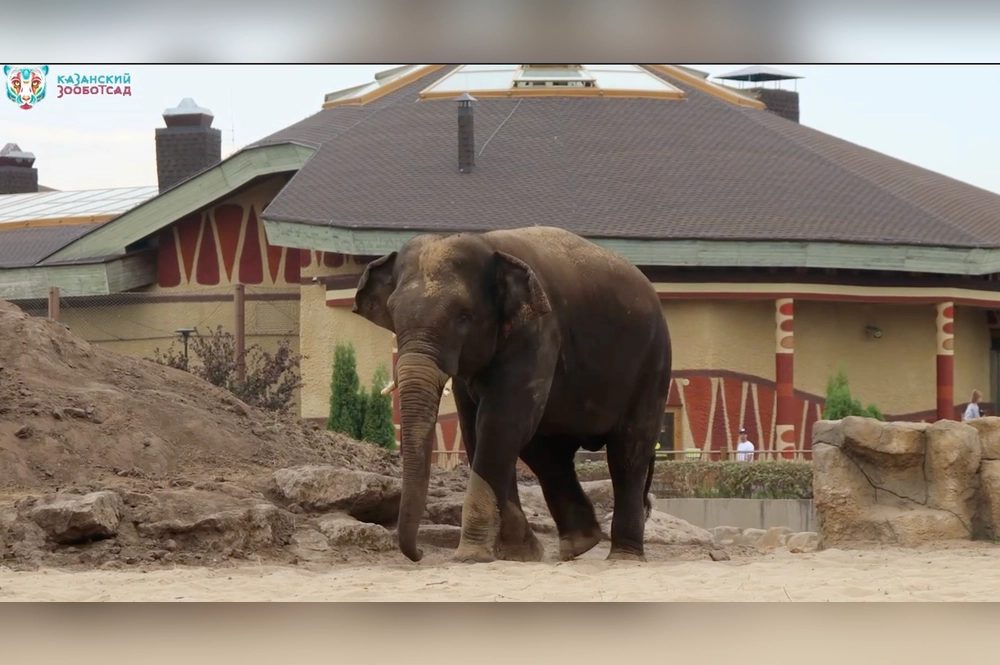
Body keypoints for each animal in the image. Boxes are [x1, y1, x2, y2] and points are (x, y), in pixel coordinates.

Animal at [352, 226, 672, 564]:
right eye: (393, 312)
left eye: (463, 316)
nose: (421, 554)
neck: (487, 243)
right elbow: (477, 430)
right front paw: (521, 553)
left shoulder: (537, 332)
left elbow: (499, 423)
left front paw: (471, 555)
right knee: (545, 451)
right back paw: (579, 545)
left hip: (653, 363)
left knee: (628, 452)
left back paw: (623, 557)